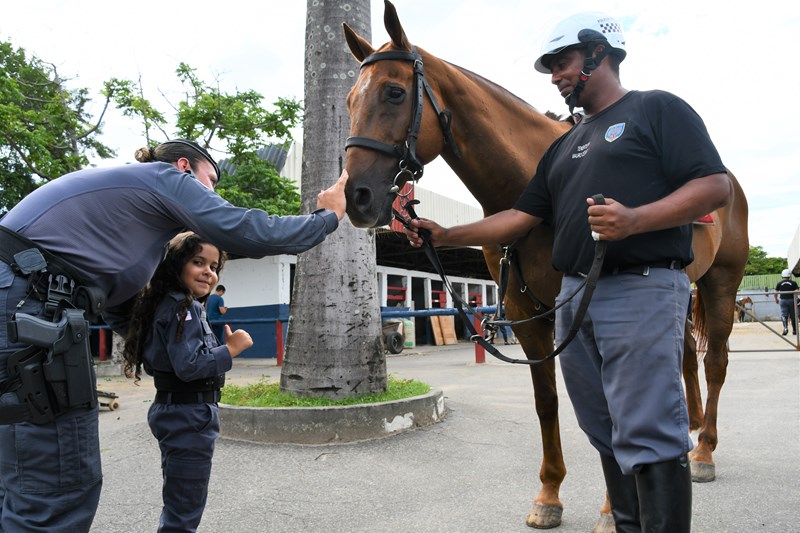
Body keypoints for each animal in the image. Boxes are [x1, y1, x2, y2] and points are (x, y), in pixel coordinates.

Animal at [342, 3, 752, 528]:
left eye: (394, 92)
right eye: (349, 100)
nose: (356, 196)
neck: (529, 188)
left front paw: (609, 510)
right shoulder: (527, 315)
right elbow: (547, 402)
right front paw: (550, 494)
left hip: (722, 284)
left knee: (714, 362)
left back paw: (703, 452)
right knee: (680, 357)